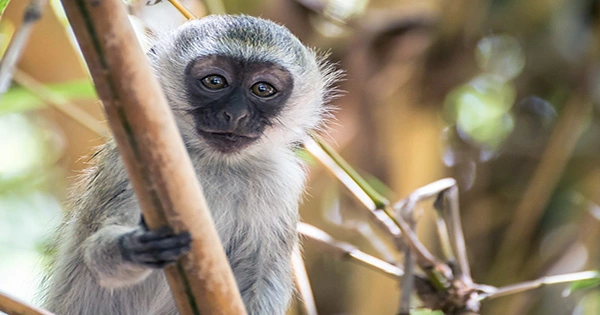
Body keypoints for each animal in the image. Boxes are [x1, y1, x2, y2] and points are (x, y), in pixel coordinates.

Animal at [42, 14, 340, 315]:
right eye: (215, 81)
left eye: (263, 89)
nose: (235, 114)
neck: (216, 164)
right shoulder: (127, 166)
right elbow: (93, 255)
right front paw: (132, 247)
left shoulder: (280, 185)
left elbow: (263, 278)